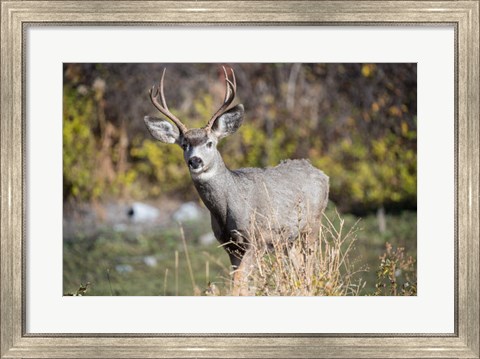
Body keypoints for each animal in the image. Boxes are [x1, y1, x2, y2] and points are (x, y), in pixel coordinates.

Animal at [144, 67, 328, 296]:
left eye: (210, 143)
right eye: (184, 144)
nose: (195, 161)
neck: (228, 205)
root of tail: (323, 174)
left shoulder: (256, 239)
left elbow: (239, 282)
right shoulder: (230, 245)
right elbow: (240, 283)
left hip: (312, 225)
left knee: (309, 265)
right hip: (289, 239)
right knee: (299, 268)